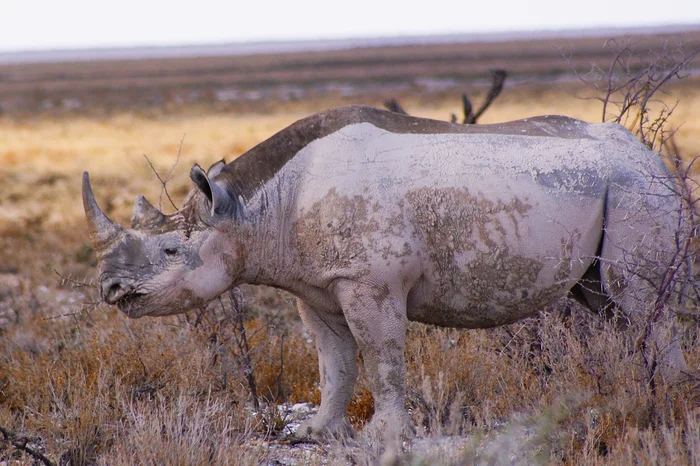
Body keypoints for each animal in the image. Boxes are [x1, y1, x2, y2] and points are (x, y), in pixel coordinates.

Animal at [83, 105, 691, 441]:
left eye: (170, 251)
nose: (110, 289)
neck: (247, 209)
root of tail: (651, 154)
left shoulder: (367, 281)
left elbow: (380, 356)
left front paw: (384, 437)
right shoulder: (316, 284)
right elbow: (334, 361)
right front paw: (317, 433)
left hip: (635, 187)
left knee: (640, 302)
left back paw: (668, 406)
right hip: (617, 187)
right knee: (608, 305)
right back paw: (633, 397)